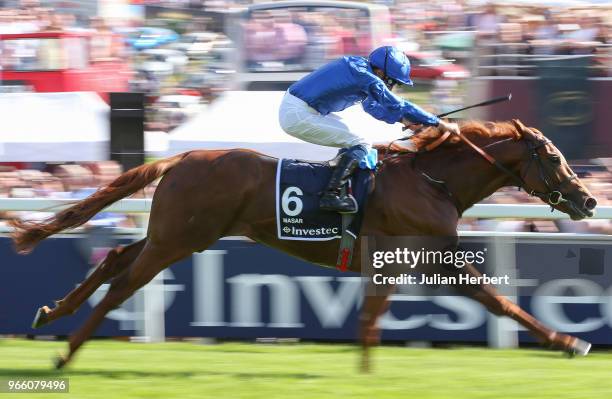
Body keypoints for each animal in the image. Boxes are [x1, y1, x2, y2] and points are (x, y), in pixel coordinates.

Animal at [9, 119, 596, 368]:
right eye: (554, 157)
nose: (589, 200)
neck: (433, 180)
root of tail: (182, 157)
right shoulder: (428, 255)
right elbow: (497, 301)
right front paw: (570, 341)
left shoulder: (407, 259)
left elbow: (379, 313)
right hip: (176, 240)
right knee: (123, 285)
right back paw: (65, 352)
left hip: (175, 235)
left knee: (113, 259)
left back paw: (50, 312)